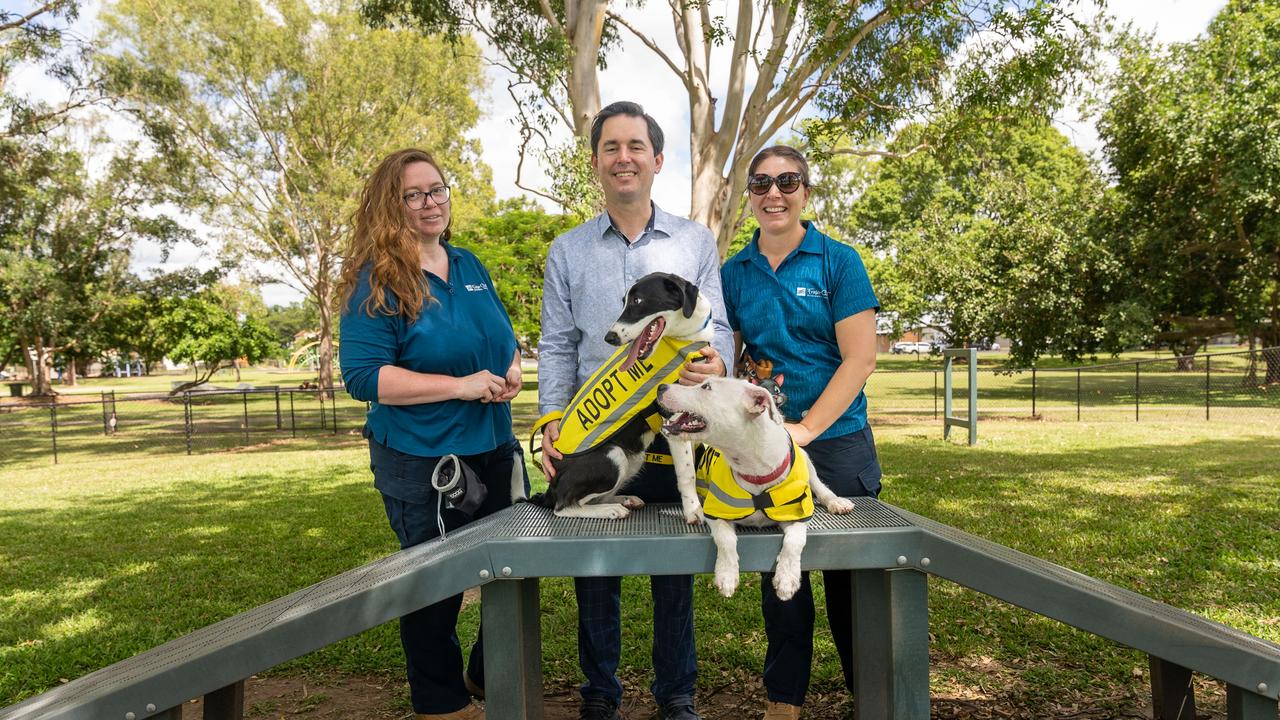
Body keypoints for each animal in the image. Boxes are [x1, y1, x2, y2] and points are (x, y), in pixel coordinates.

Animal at [527, 271, 711, 517]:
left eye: (638, 301)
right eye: (624, 301)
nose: (610, 337)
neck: (684, 337)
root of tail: (550, 488)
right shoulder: (671, 417)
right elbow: (687, 472)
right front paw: (693, 512)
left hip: (633, 458)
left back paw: (624, 500)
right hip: (613, 456)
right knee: (564, 506)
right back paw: (610, 510)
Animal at [655, 376, 855, 599]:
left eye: (706, 387)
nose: (661, 387)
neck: (754, 470)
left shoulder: (796, 515)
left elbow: (795, 541)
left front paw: (787, 578)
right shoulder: (716, 513)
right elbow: (726, 539)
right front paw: (726, 575)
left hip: (805, 459)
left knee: (819, 485)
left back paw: (835, 501)